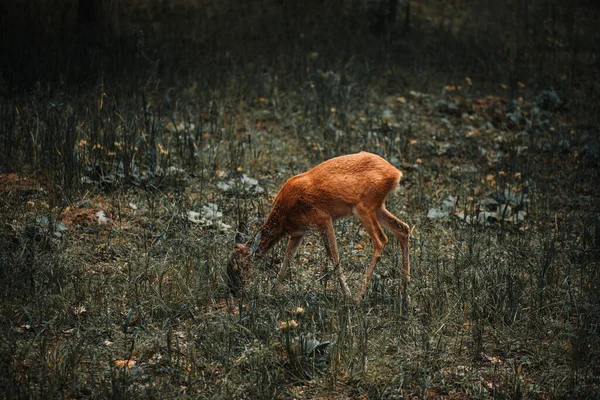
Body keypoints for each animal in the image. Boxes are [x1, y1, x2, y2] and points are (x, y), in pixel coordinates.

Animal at [227, 151, 410, 304]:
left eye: (237, 267)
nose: (233, 290)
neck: (285, 217)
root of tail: (396, 173)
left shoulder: (323, 219)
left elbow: (333, 256)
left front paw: (347, 293)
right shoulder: (298, 233)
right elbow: (287, 258)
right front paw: (272, 291)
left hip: (364, 207)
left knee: (381, 240)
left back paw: (358, 297)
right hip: (378, 207)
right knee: (403, 228)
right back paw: (405, 288)